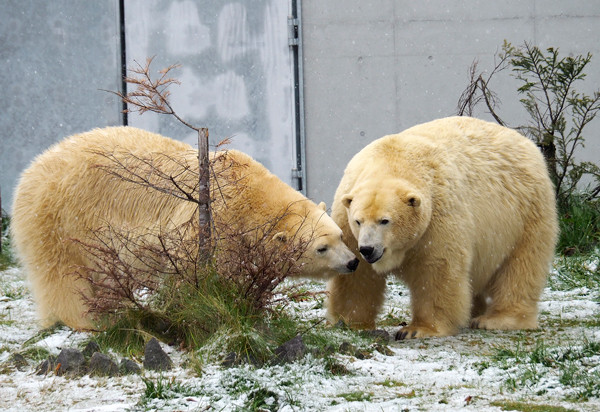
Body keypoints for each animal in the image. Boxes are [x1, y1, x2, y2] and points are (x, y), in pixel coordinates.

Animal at [11, 127, 358, 330]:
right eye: (321, 248)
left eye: (341, 236)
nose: (353, 262)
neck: (248, 193)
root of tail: (28, 173)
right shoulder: (211, 223)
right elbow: (195, 273)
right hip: (59, 221)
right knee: (62, 275)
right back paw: (88, 320)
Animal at [328, 115, 556, 338]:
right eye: (358, 221)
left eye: (385, 221)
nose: (368, 249)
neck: (392, 160)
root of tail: (526, 143)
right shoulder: (346, 220)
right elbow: (358, 275)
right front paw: (349, 322)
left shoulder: (438, 215)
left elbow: (437, 269)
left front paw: (417, 329)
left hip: (526, 211)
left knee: (521, 267)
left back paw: (497, 319)